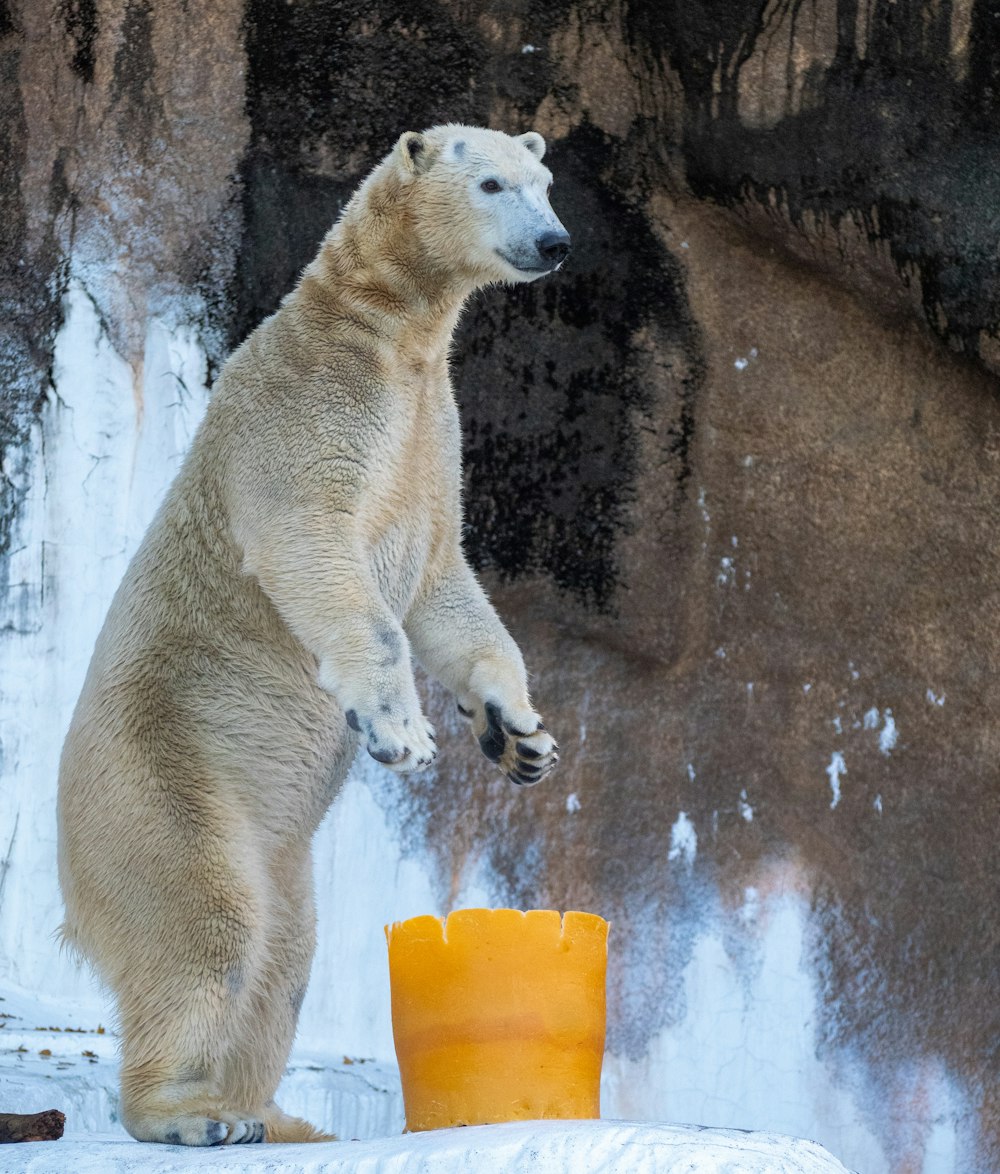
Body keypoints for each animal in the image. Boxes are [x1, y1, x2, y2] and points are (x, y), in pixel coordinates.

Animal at [56, 126, 570, 1145]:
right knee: (206, 922)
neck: (379, 333)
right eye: (492, 183)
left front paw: (520, 736)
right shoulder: (311, 412)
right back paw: (189, 1112)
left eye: (545, 180)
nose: (555, 242)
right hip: (160, 775)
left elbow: (447, 588)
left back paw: (276, 1115)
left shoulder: (430, 437)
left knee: (286, 958)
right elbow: (317, 550)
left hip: (277, 845)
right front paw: (401, 730)